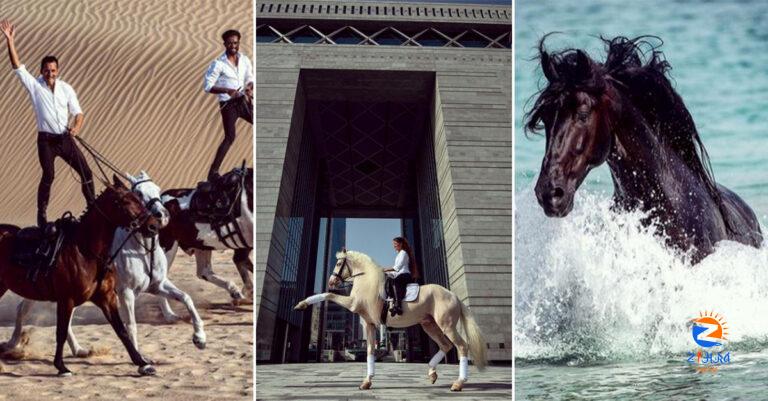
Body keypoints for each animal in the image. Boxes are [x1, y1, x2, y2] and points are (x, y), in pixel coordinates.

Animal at [0, 170, 207, 354]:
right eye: (138, 193)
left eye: (157, 189)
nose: (161, 217)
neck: (141, 251)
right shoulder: (126, 293)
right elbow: (131, 325)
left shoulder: (157, 285)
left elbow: (186, 298)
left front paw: (200, 338)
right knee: (24, 310)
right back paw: (13, 344)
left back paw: (77, 350)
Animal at [0, 175, 160, 376]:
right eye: (124, 201)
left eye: (137, 198)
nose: (153, 226)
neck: (86, 251)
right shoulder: (66, 299)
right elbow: (60, 331)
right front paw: (61, 366)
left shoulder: (106, 297)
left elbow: (121, 330)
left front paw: (142, 363)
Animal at [294, 250, 486, 390]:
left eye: (339, 263)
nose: (332, 281)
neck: (366, 280)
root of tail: (453, 295)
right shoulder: (369, 323)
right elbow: (370, 351)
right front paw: (367, 382)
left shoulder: (353, 304)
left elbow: (329, 295)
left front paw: (302, 304)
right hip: (429, 325)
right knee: (445, 345)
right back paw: (432, 374)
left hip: (446, 326)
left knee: (462, 346)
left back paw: (458, 383)